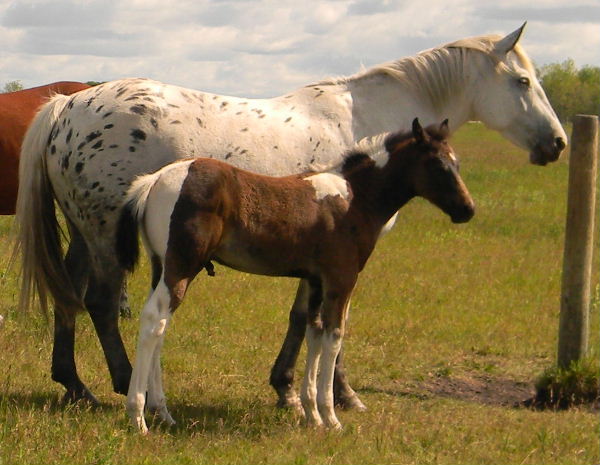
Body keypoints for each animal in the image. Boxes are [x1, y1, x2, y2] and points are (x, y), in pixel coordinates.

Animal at [117, 118, 474, 433]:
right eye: (439, 165)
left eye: (457, 164)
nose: (467, 210)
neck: (354, 198)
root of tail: (155, 179)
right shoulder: (341, 279)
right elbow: (334, 337)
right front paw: (332, 419)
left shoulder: (316, 281)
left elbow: (314, 333)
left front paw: (312, 415)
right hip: (181, 267)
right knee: (154, 320)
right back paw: (138, 417)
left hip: (162, 267)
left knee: (160, 327)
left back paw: (163, 413)